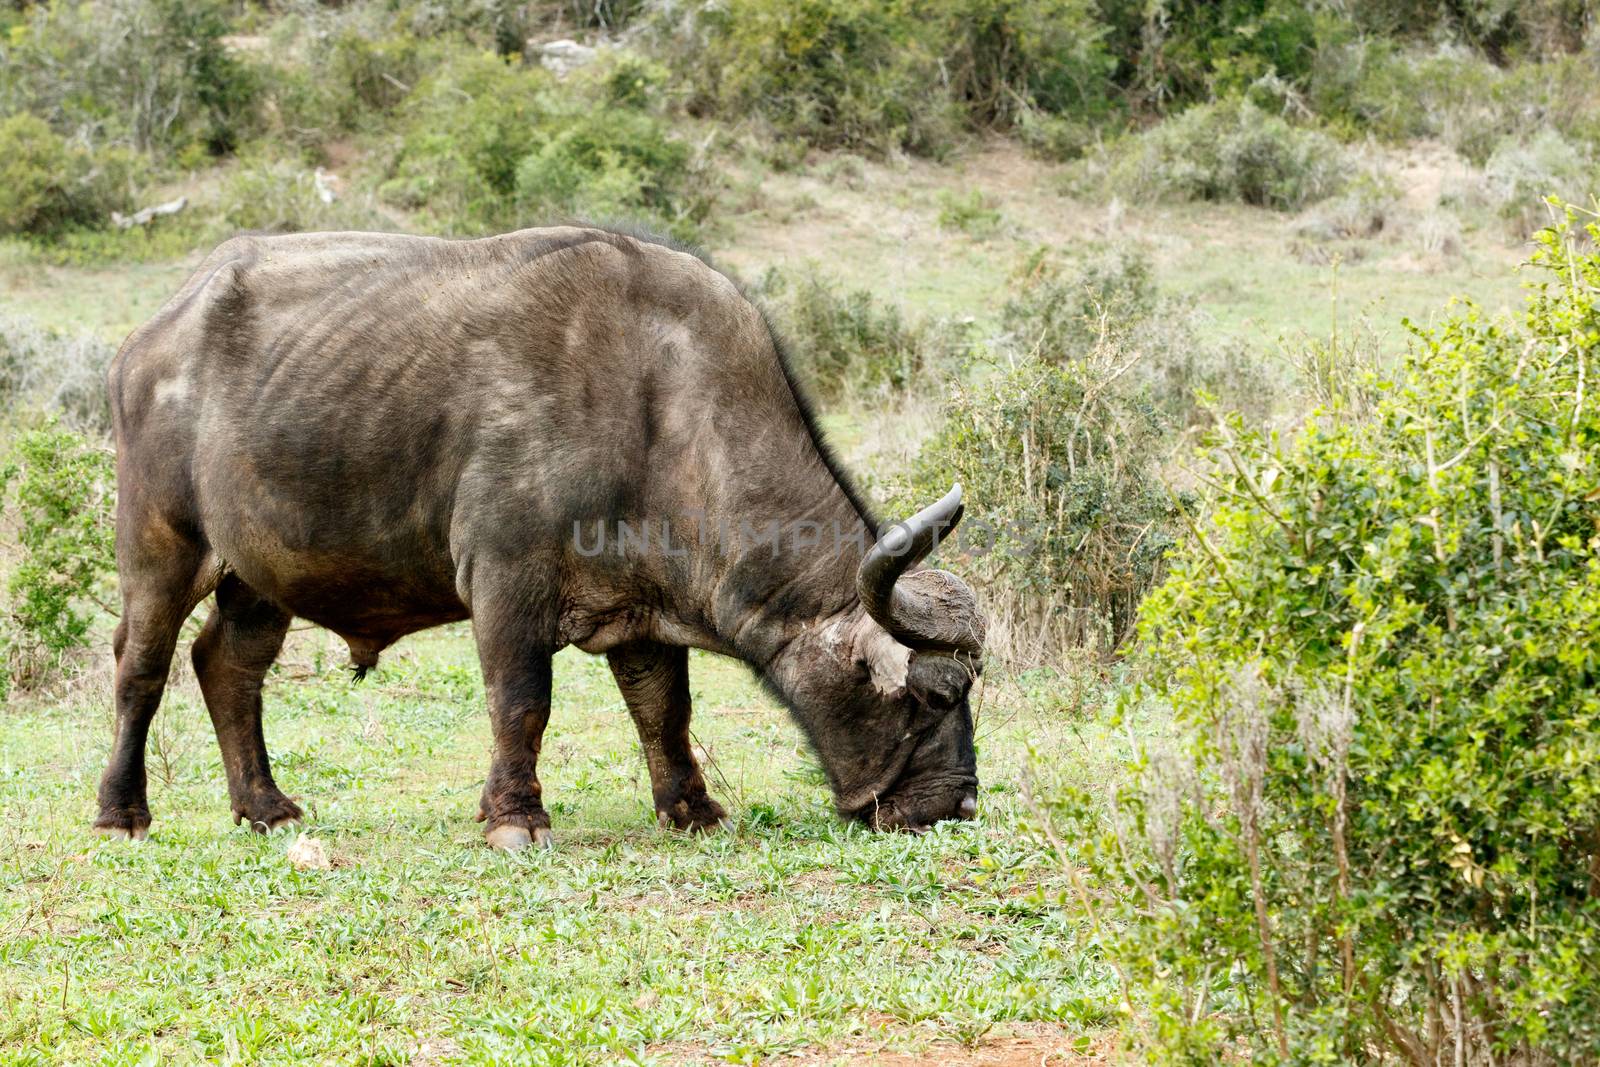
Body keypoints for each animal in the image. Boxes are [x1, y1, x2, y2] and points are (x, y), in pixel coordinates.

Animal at [96, 227, 985, 851]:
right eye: (934, 695)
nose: (959, 803)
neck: (660, 403)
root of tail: (150, 338)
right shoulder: (505, 580)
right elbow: (521, 701)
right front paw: (515, 815)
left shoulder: (641, 608)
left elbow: (664, 708)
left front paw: (690, 805)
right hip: (161, 547)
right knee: (141, 668)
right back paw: (122, 811)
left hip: (260, 574)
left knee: (228, 667)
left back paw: (265, 806)